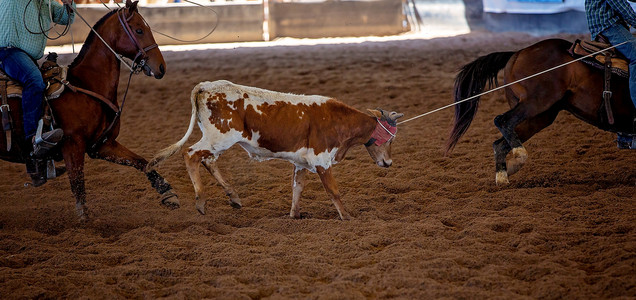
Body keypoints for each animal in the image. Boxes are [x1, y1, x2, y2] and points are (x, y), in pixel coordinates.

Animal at [0, 0, 179, 216]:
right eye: (139, 30)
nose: (161, 67)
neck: (85, 84)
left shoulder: (102, 145)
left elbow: (141, 162)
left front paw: (167, 192)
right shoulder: (73, 146)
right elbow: (78, 188)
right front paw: (85, 220)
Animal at [148, 80, 402, 220]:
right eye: (390, 138)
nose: (388, 163)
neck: (336, 120)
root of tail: (206, 87)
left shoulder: (301, 162)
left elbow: (297, 188)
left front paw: (295, 215)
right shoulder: (321, 160)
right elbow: (333, 191)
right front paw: (348, 217)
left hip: (216, 140)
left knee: (208, 161)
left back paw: (234, 197)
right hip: (218, 138)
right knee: (191, 154)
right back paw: (201, 201)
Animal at [448, 38, 636, 184]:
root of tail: (517, 52)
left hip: (539, 117)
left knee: (500, 143)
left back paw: (505, 175)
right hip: (536, 103)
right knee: (502, 120)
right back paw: (517, 158)